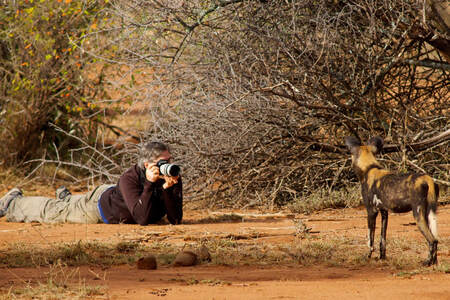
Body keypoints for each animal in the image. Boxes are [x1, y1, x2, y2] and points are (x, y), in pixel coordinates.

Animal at [344, 136, 440, 264]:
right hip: (429, 213)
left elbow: (370, 239)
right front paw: (382, 257)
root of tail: (427, 178)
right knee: (436, 239)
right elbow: (382, 240)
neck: (369, 168)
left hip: (418, 214)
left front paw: (368, 256)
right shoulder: (384, 212)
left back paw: (427, 262)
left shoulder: (371, 212)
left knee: (432, 240)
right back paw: (434, 262)